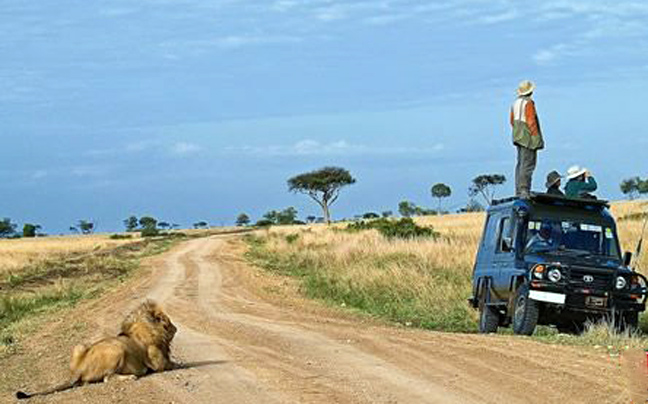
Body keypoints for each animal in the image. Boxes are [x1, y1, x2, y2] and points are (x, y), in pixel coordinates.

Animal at [15, 298, 177, 400]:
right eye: (168, 321)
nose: (176, 328)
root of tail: (79, 369)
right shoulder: (159, 363)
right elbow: (174, 364)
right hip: (117, 349)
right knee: (108, 378)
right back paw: (131, 376)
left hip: (80, 346)